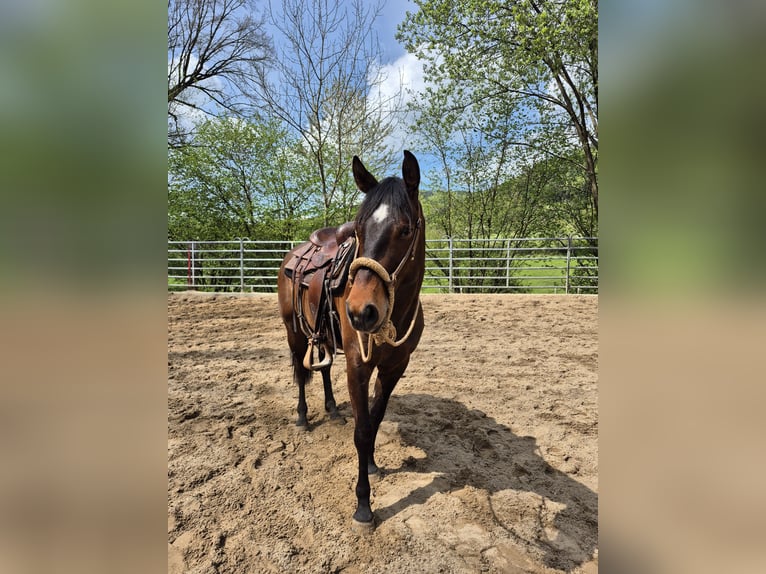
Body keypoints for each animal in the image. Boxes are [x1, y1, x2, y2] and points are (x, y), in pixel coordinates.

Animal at [277, 150, 425, 527]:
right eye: (358, 231)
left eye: (405, 230)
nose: (360, 311)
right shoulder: (359, 365)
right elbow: (361, 431)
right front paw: (363, 506)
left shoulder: (394, 368)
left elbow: (375, 420)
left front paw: (372, 464)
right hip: (293, 332)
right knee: (301, 373)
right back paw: (303, 417)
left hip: (322, 334)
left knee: (325, 369)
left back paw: (331, 409)